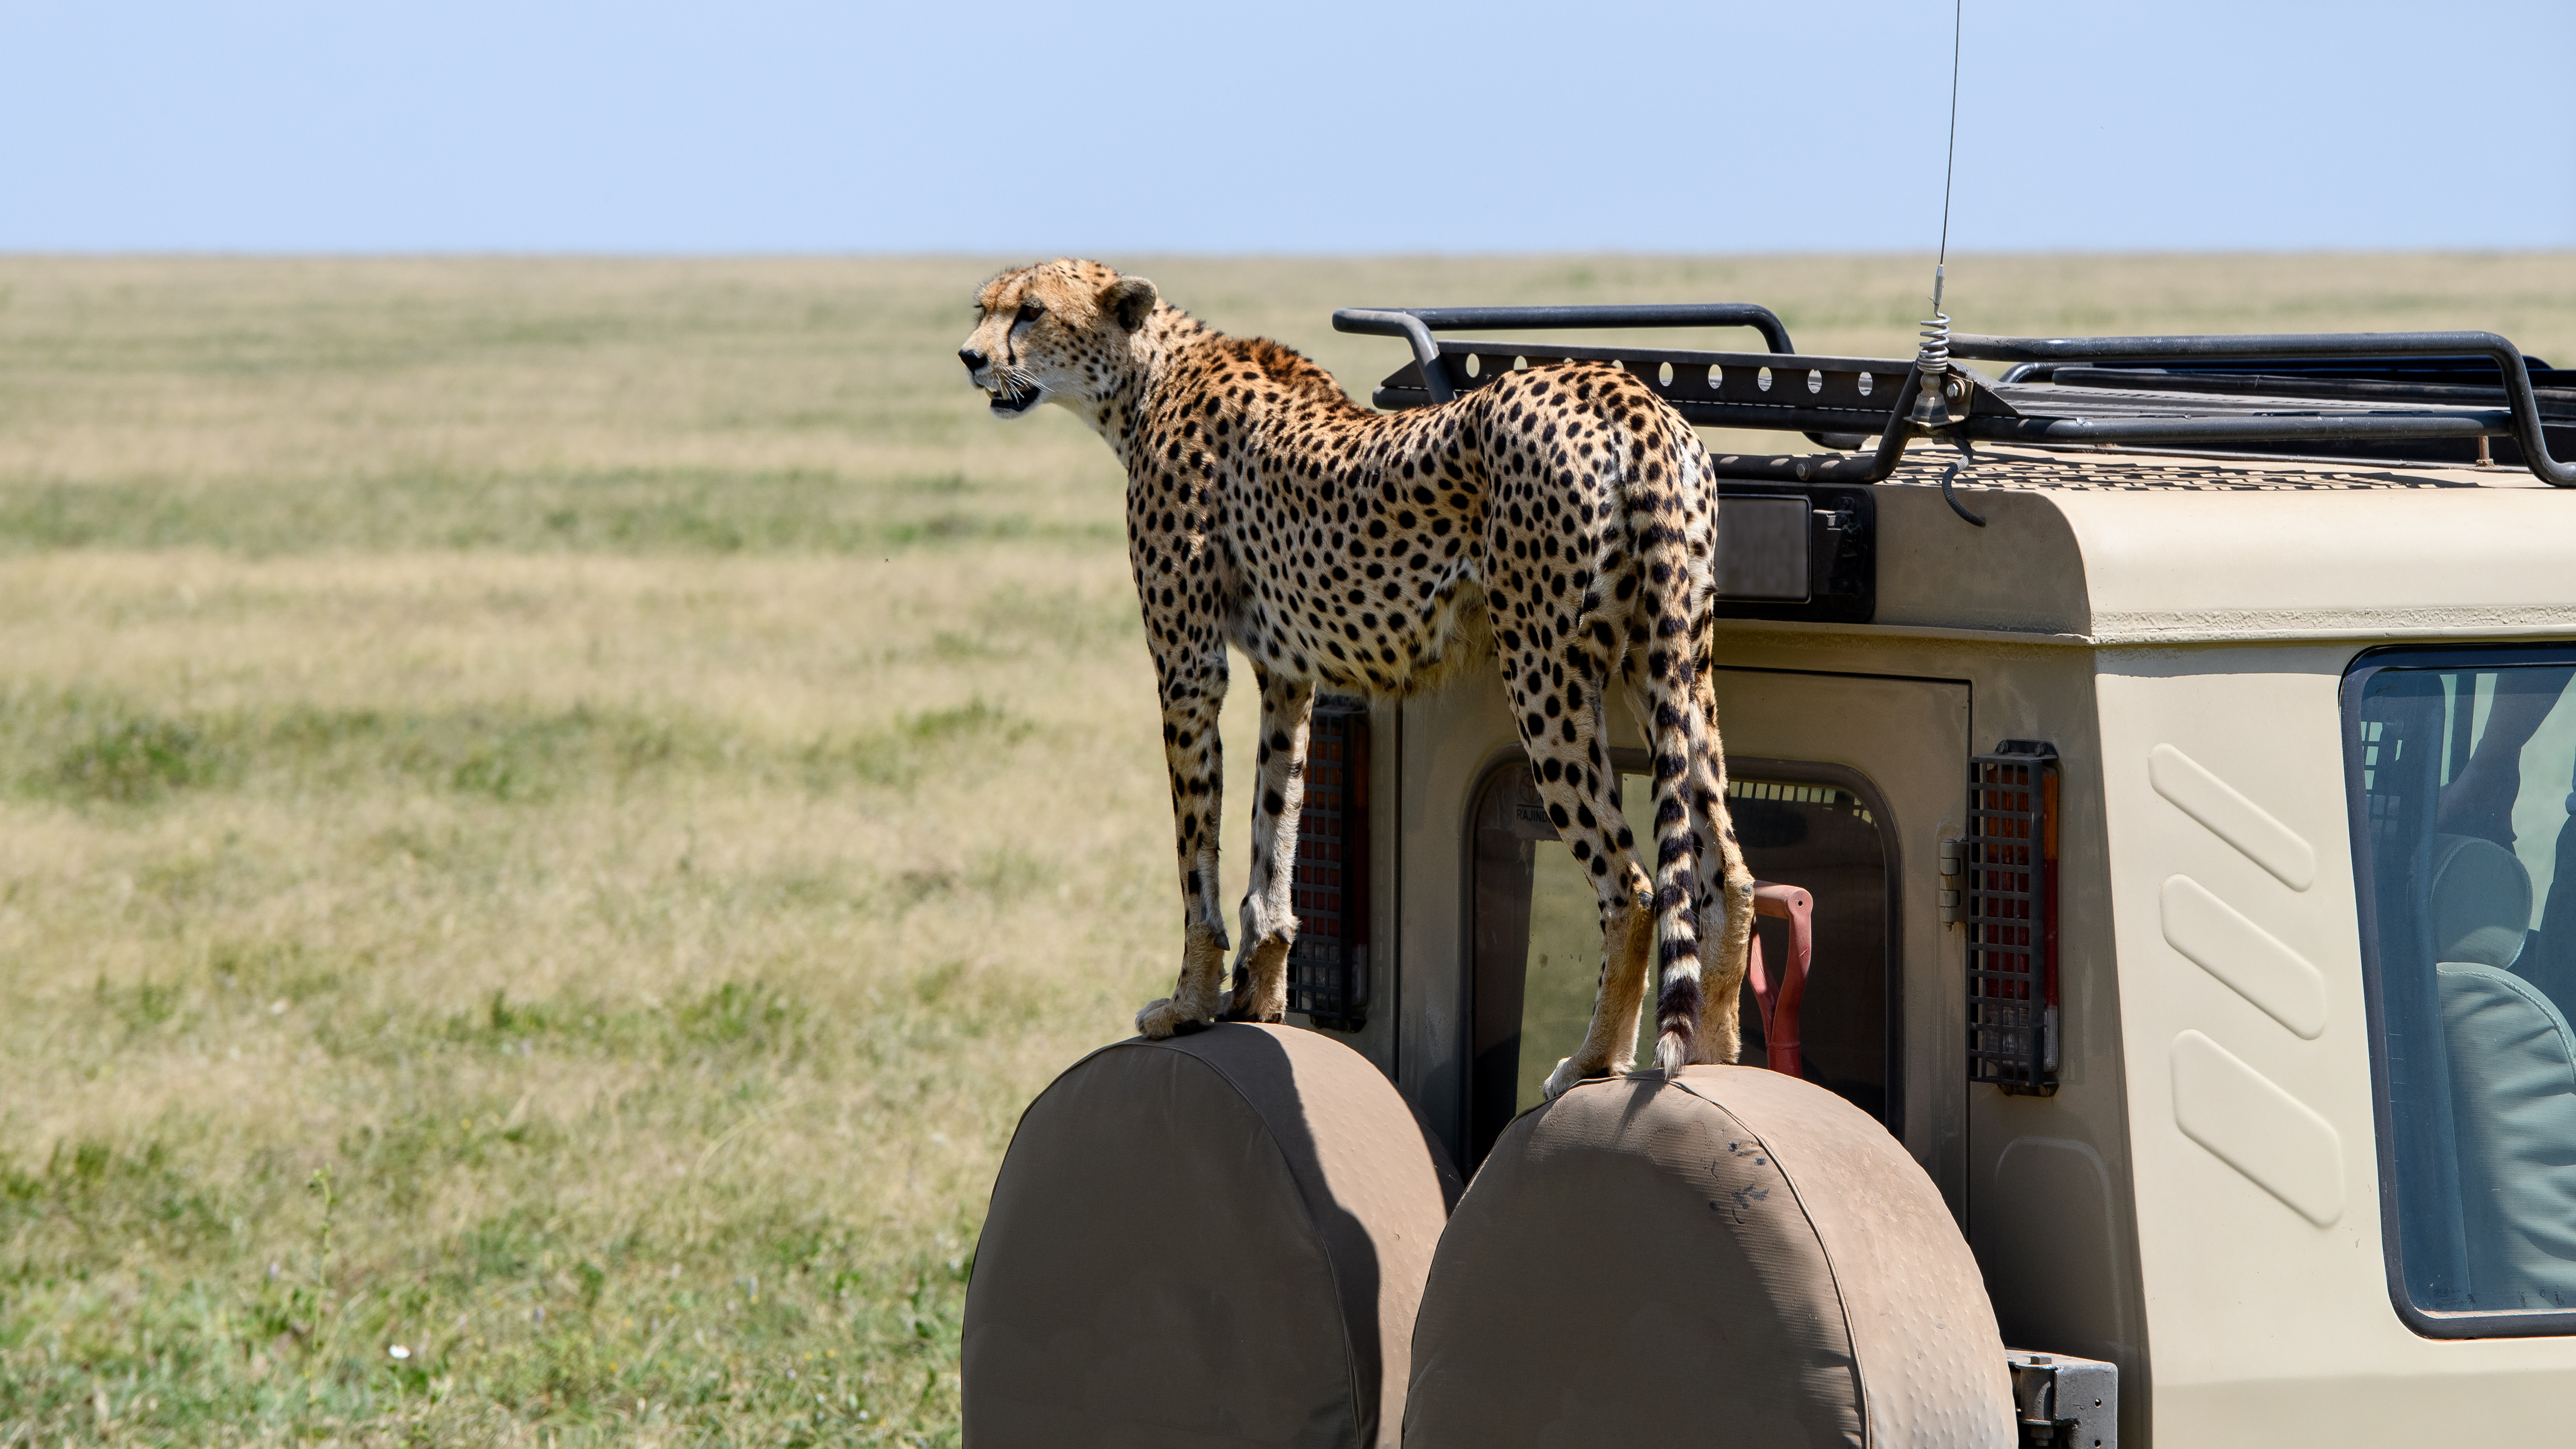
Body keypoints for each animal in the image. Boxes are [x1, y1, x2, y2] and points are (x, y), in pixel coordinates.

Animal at [960, 258, 1756, 1094]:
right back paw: (1716, 1051)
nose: (970, 357)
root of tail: (1617, 388)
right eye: (983, 308)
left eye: (1031, 312)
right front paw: (1259, 997)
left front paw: (1188, 1003)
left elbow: (1196, 856)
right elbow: (1274, 827)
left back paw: (1595, 1061)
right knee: (1725, 869)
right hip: (1670, 657)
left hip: (1543, 666)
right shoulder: (1286, 673)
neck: (1147, 374)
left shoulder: (1188, 665)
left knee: (1631, 885)